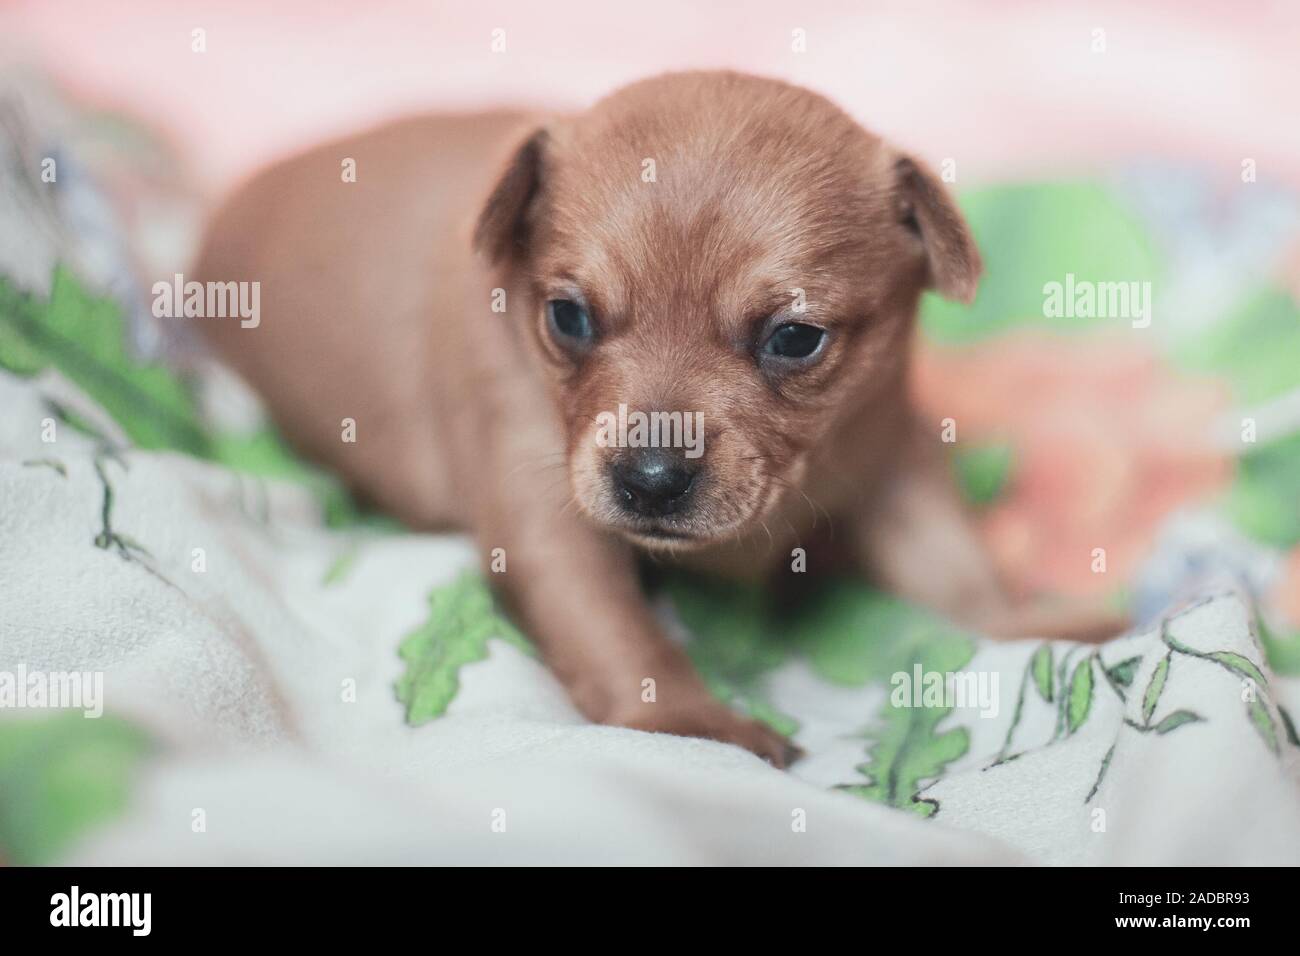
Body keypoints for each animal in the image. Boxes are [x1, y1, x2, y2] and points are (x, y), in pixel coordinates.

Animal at [195, 70, 1128, 764]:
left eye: (795, 338)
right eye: (567, 318)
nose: (649, 480)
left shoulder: (889, 448)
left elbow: (950, 564)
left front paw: (1029, 623)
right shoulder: (542, 503)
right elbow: (615, 630)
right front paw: (691, 724)